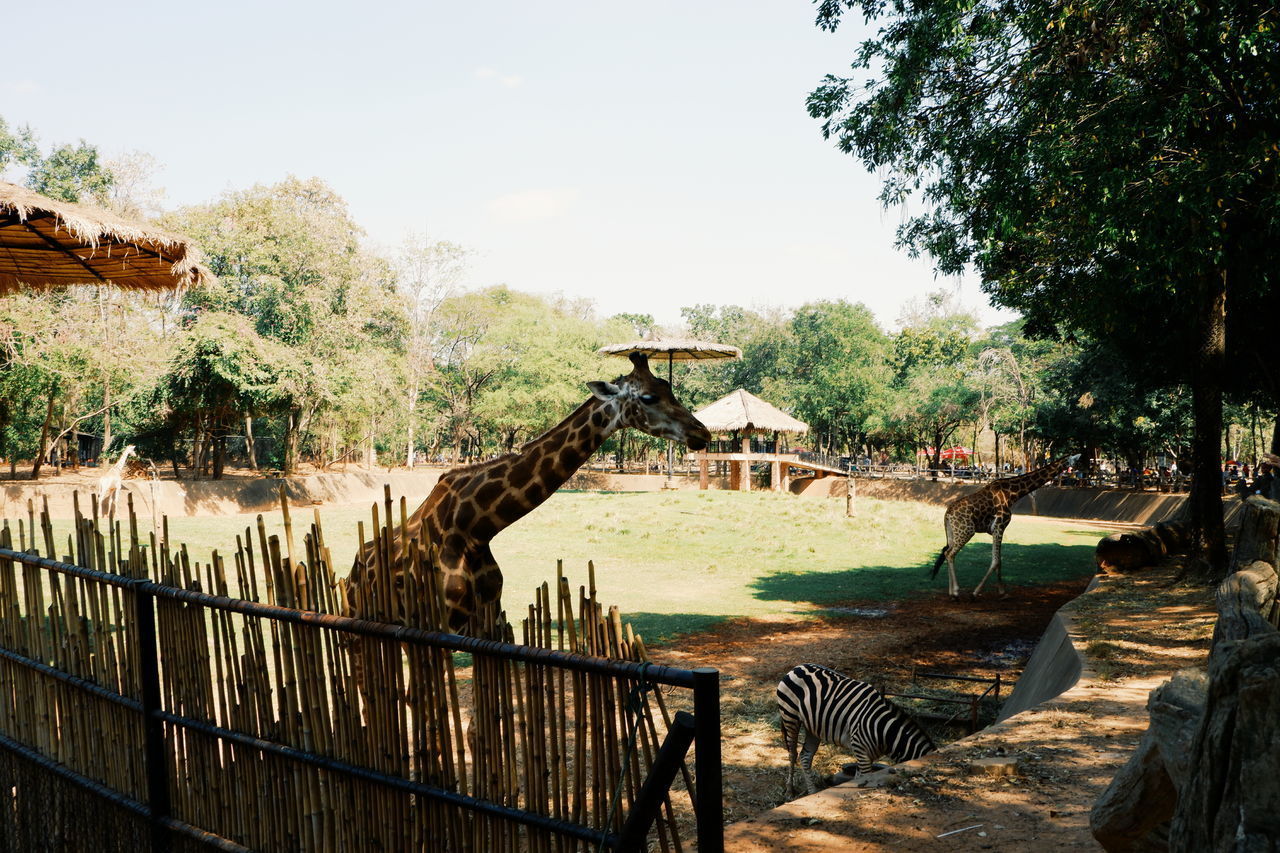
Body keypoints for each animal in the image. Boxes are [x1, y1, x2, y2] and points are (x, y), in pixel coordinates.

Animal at [345, 348, 716, 635]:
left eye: (669, 389)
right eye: (649, 396)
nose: (703, 433)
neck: (474, 528)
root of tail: (351, 569)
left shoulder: (487, 621)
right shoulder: (443, 625)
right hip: (360, 620)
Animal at [773, 660, 936, 794]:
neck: (885, 730)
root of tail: (797, 667)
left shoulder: (865, 755)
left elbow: (859, 778)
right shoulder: (861, 750)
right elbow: (863, 778)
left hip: (813, 727)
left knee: (805, 756)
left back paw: (812, 792)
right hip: (790, 717)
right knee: (793, 753)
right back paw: (790, 791)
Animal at [931, 450, 1080, 596]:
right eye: (1075, 462)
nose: (1076, 478)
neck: (1012, 493)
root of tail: (947, 514)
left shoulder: (997, 529)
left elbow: (999, 560)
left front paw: (1002, 592)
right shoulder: (999, 526)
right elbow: (996, 561)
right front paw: (977, 592)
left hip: (953, 532)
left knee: (947, 552)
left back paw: (951, 592)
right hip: (967, 531)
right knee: (950, 554)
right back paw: (956, 592)